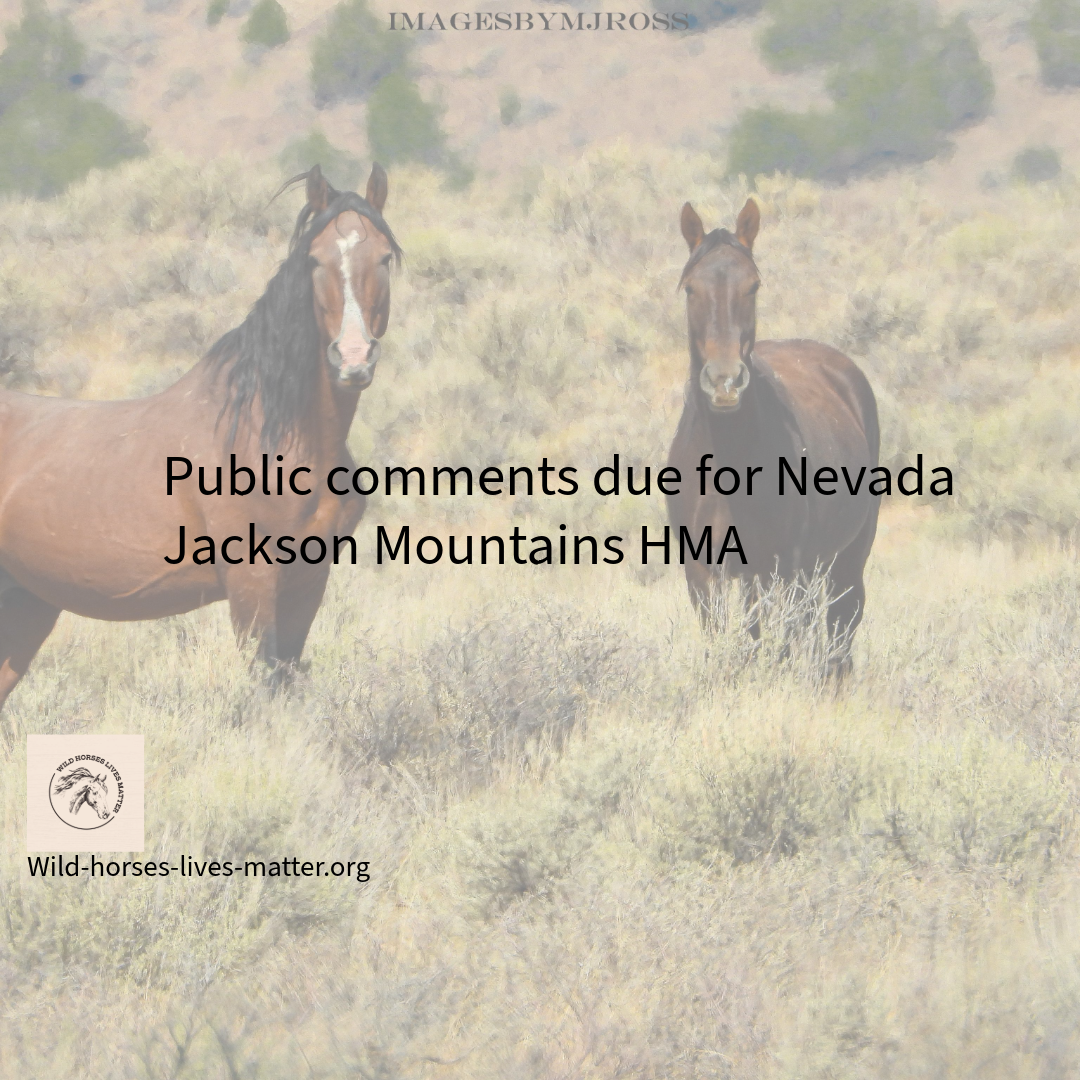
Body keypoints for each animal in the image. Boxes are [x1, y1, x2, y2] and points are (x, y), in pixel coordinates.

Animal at [0, 164, 401, 712]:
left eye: (383, 256)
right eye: (315, 259)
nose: (353, 358)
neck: (268, 432)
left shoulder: (307, 583)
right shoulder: (252, 586)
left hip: (26, 606)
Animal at [665, 198, 880, 674]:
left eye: (754, 286)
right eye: (690, 288)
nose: (725, 383)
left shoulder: (780, 569)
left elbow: (774, 648)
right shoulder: (702, 573)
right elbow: (727, 644)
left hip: (844, 560)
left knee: (838, 633)